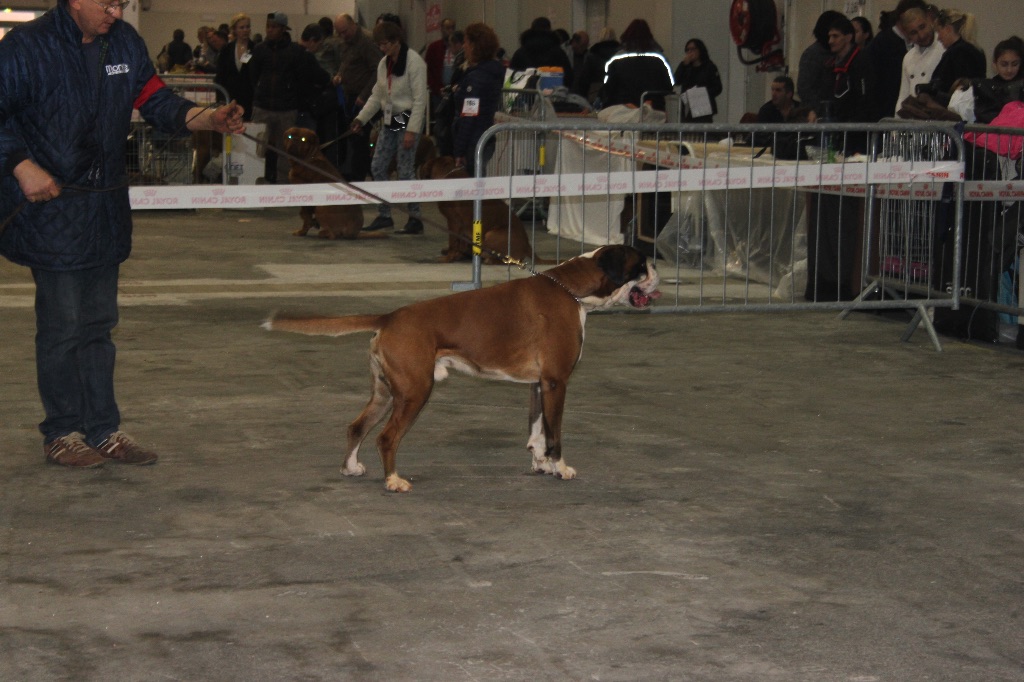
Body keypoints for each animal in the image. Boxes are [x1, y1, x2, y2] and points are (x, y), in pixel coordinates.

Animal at [264, 244, 659, 493]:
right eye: (642, 263)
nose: (659, 271)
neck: (571, 289)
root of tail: (390, 317)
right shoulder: (556, 382)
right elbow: (555, 433)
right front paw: (560, 468)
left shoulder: (538, 384)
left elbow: (537, 431)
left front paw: (541, 464)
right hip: (414, 392)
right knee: (386, 437)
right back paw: (393, 481)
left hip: (384, 392)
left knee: (357, 427)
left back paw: (351, 468)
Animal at [415, 153, 552, 262]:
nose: (418, 165)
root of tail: (528, 246)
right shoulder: (463, 226)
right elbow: (460, 242)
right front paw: (457, 254)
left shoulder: (454, 221)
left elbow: (453, 242)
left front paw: (449, 257)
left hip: (491, 235)